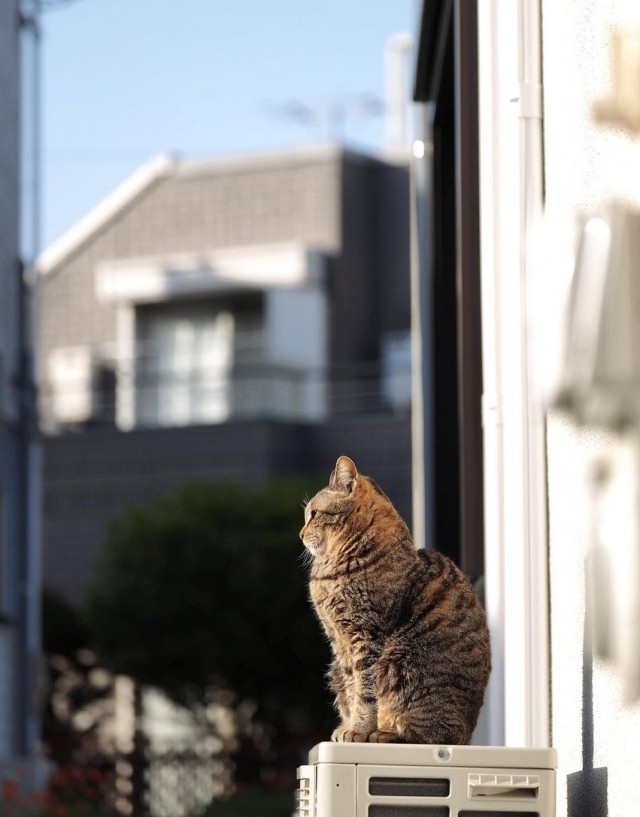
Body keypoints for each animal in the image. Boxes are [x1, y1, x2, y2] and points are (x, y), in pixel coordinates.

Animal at [300, 456, 490, 744]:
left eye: (314, 514)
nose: (300, 534)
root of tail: (468, 735)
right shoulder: (340, 643)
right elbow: (353, 688)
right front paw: (350, 726)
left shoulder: (367, 637)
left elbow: (365, 693)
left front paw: (358, 729)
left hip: (400, 665)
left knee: (428, 735)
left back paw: (384, 734)